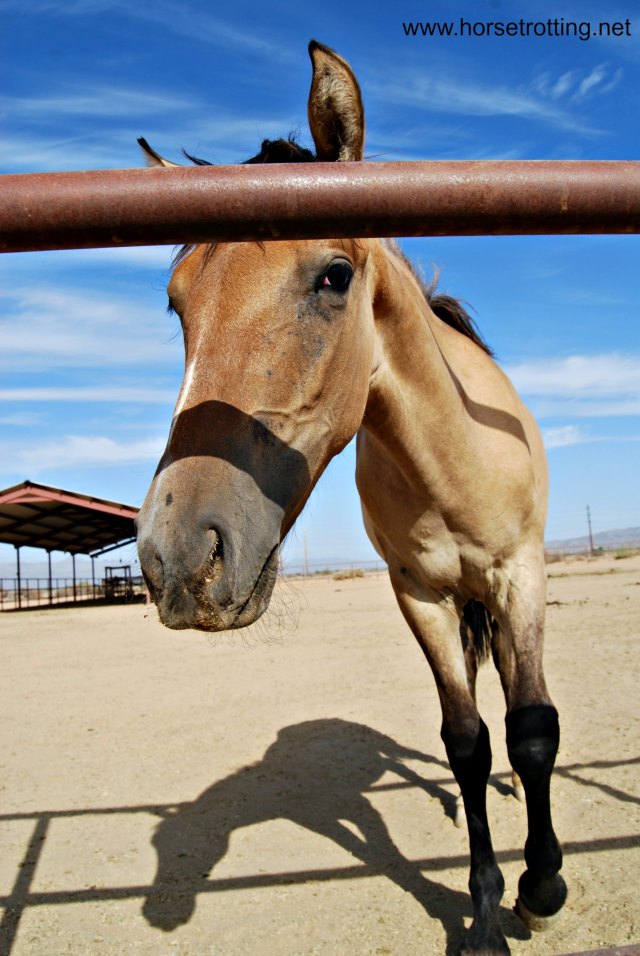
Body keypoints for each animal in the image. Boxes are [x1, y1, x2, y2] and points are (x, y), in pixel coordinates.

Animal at [136, 40, 567, 955]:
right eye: (178, 302)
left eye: (334, 275)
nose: (178, 556)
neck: (452, 457)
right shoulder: (421, 594)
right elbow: (467, 741)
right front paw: (483, 908)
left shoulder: (523, 574)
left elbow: (532, 727)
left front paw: (541, 887)